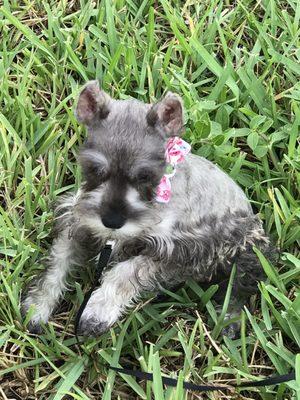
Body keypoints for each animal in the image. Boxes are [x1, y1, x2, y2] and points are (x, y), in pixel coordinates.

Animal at [21, 81, 270, 338]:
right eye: (93, 168)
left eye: (145, 176)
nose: (112, 221)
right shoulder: (77, 222)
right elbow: (58, 259)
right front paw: (37, 306)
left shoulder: (175, 248)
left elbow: (128, 271)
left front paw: (97, 312)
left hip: (247, 249)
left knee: (239, 287)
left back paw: (229, 320)